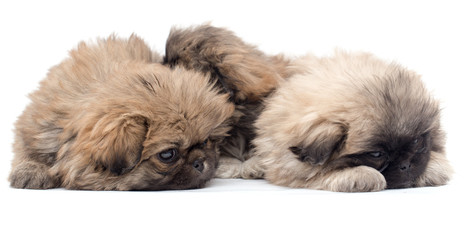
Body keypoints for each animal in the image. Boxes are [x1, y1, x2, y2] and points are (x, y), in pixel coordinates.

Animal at [10, 34, 236, 190]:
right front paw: (30, 171)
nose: (200, 162)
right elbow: (26, 150)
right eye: (167, 154)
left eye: (205, 141)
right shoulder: (35, 128)